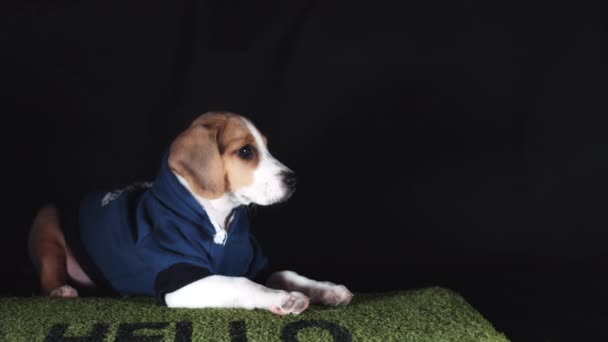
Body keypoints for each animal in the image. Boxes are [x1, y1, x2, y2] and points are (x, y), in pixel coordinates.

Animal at [28, 112, 352, 316]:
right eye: (246, 152)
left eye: (266, 148)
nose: (293, 180)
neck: (219, 218)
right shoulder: (181, 281)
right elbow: (240, 283)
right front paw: (282, 298)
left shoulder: (256, 265)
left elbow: (287, 274)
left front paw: (326, 289)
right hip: (47, 221)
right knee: (48, 274)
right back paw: (61, 290)